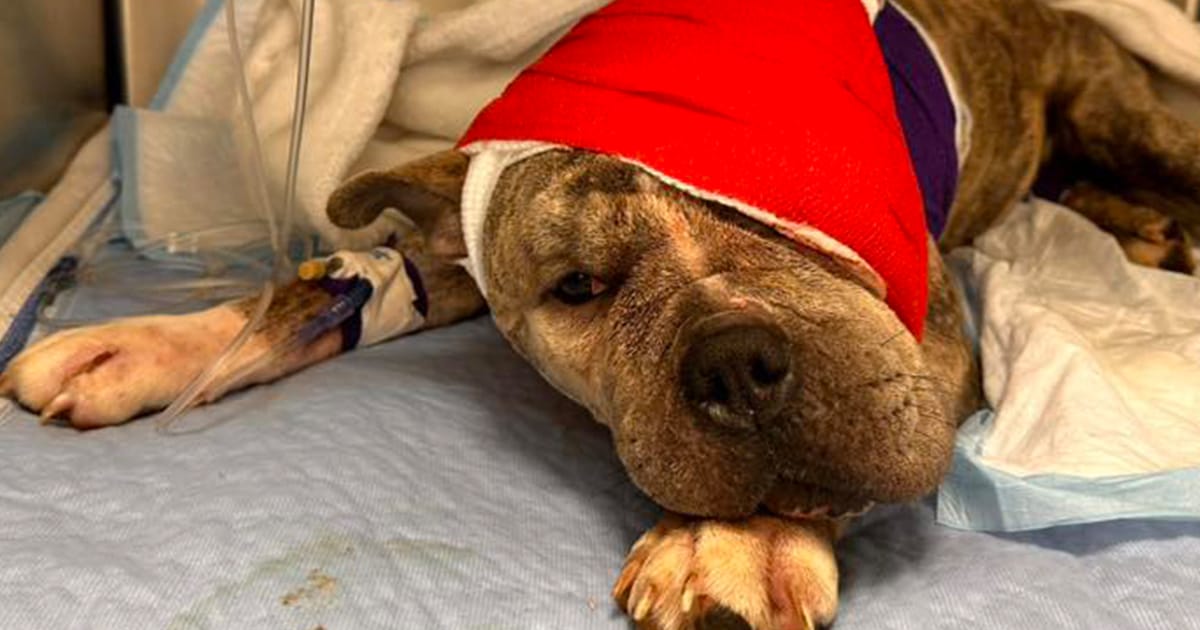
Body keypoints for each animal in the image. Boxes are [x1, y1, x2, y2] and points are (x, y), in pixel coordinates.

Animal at [4, 0, 1199, 628]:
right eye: (577, 289)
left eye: (795, 213)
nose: (736, 364)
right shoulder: (460, 252)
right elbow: (330, 288)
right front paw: (143, 342)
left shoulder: (927, 345)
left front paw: (737, 539)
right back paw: (1138, 228)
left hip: (1129, 115)